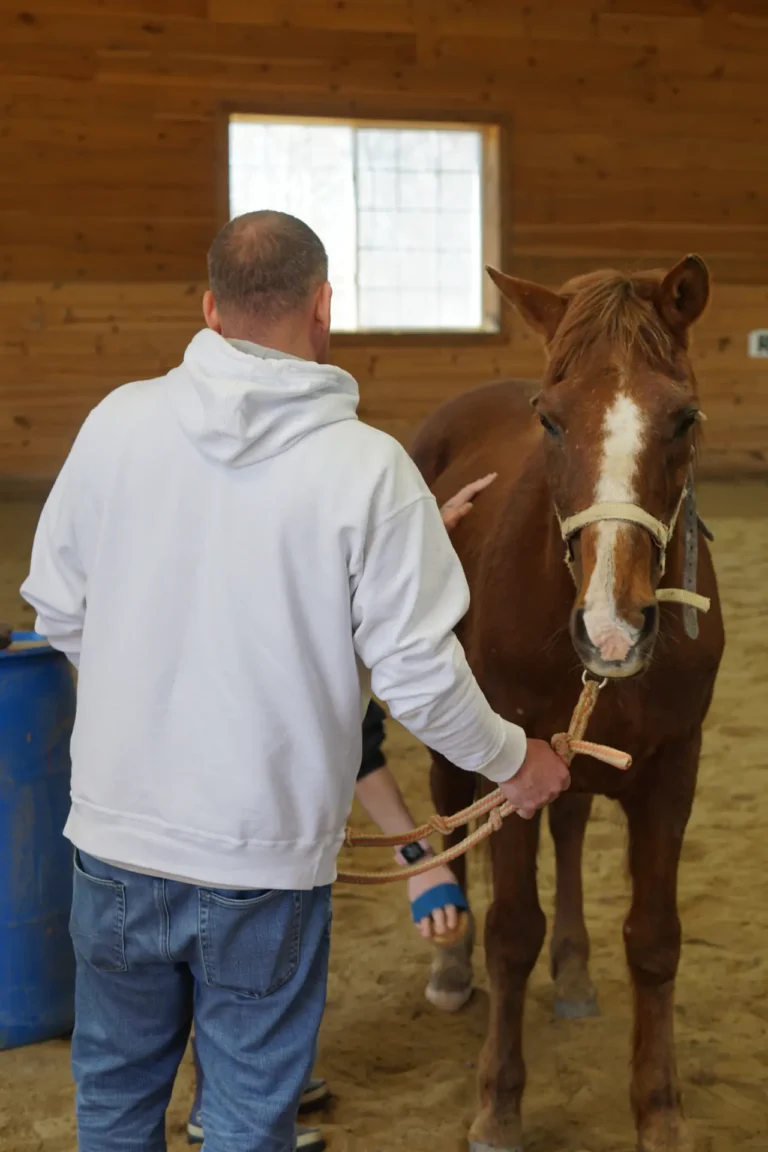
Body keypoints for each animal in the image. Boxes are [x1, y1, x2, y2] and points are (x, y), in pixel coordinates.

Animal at [409, 256, 725, 1152]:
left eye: (683, 416)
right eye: (549, 422)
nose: (612, 628)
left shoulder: (674, 767)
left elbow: (655, 940)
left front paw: (659, 1112)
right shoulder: (510, 764)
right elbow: (513, 933)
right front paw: (498, 1106)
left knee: (575, 826)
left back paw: (577, 972)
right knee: (451, 816)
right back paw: (451, 969)